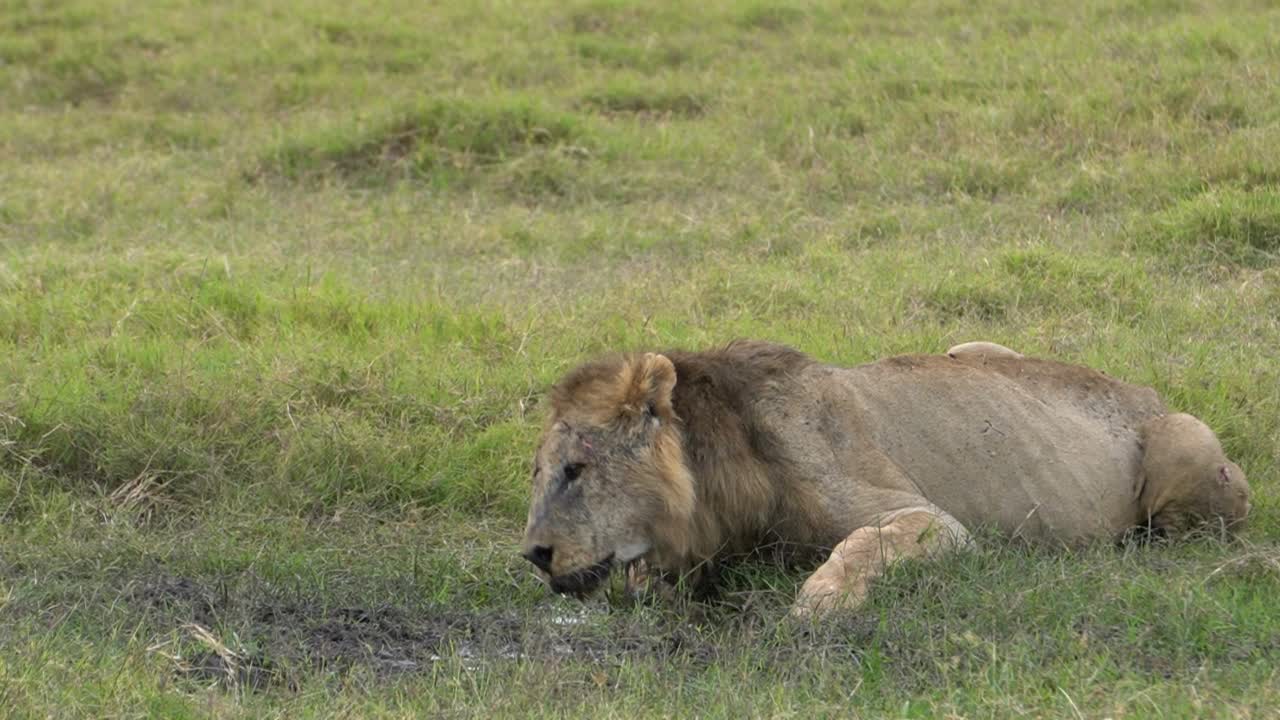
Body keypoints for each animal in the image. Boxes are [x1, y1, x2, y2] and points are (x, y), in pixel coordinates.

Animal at [519, 338, 1249, 614]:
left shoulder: (929, 518)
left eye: (576, 470)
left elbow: (863, 545)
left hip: (1184, 442)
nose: (533, 554)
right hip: (967, 345)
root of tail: (1141, 390)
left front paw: (818, 604)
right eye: (540, 472)